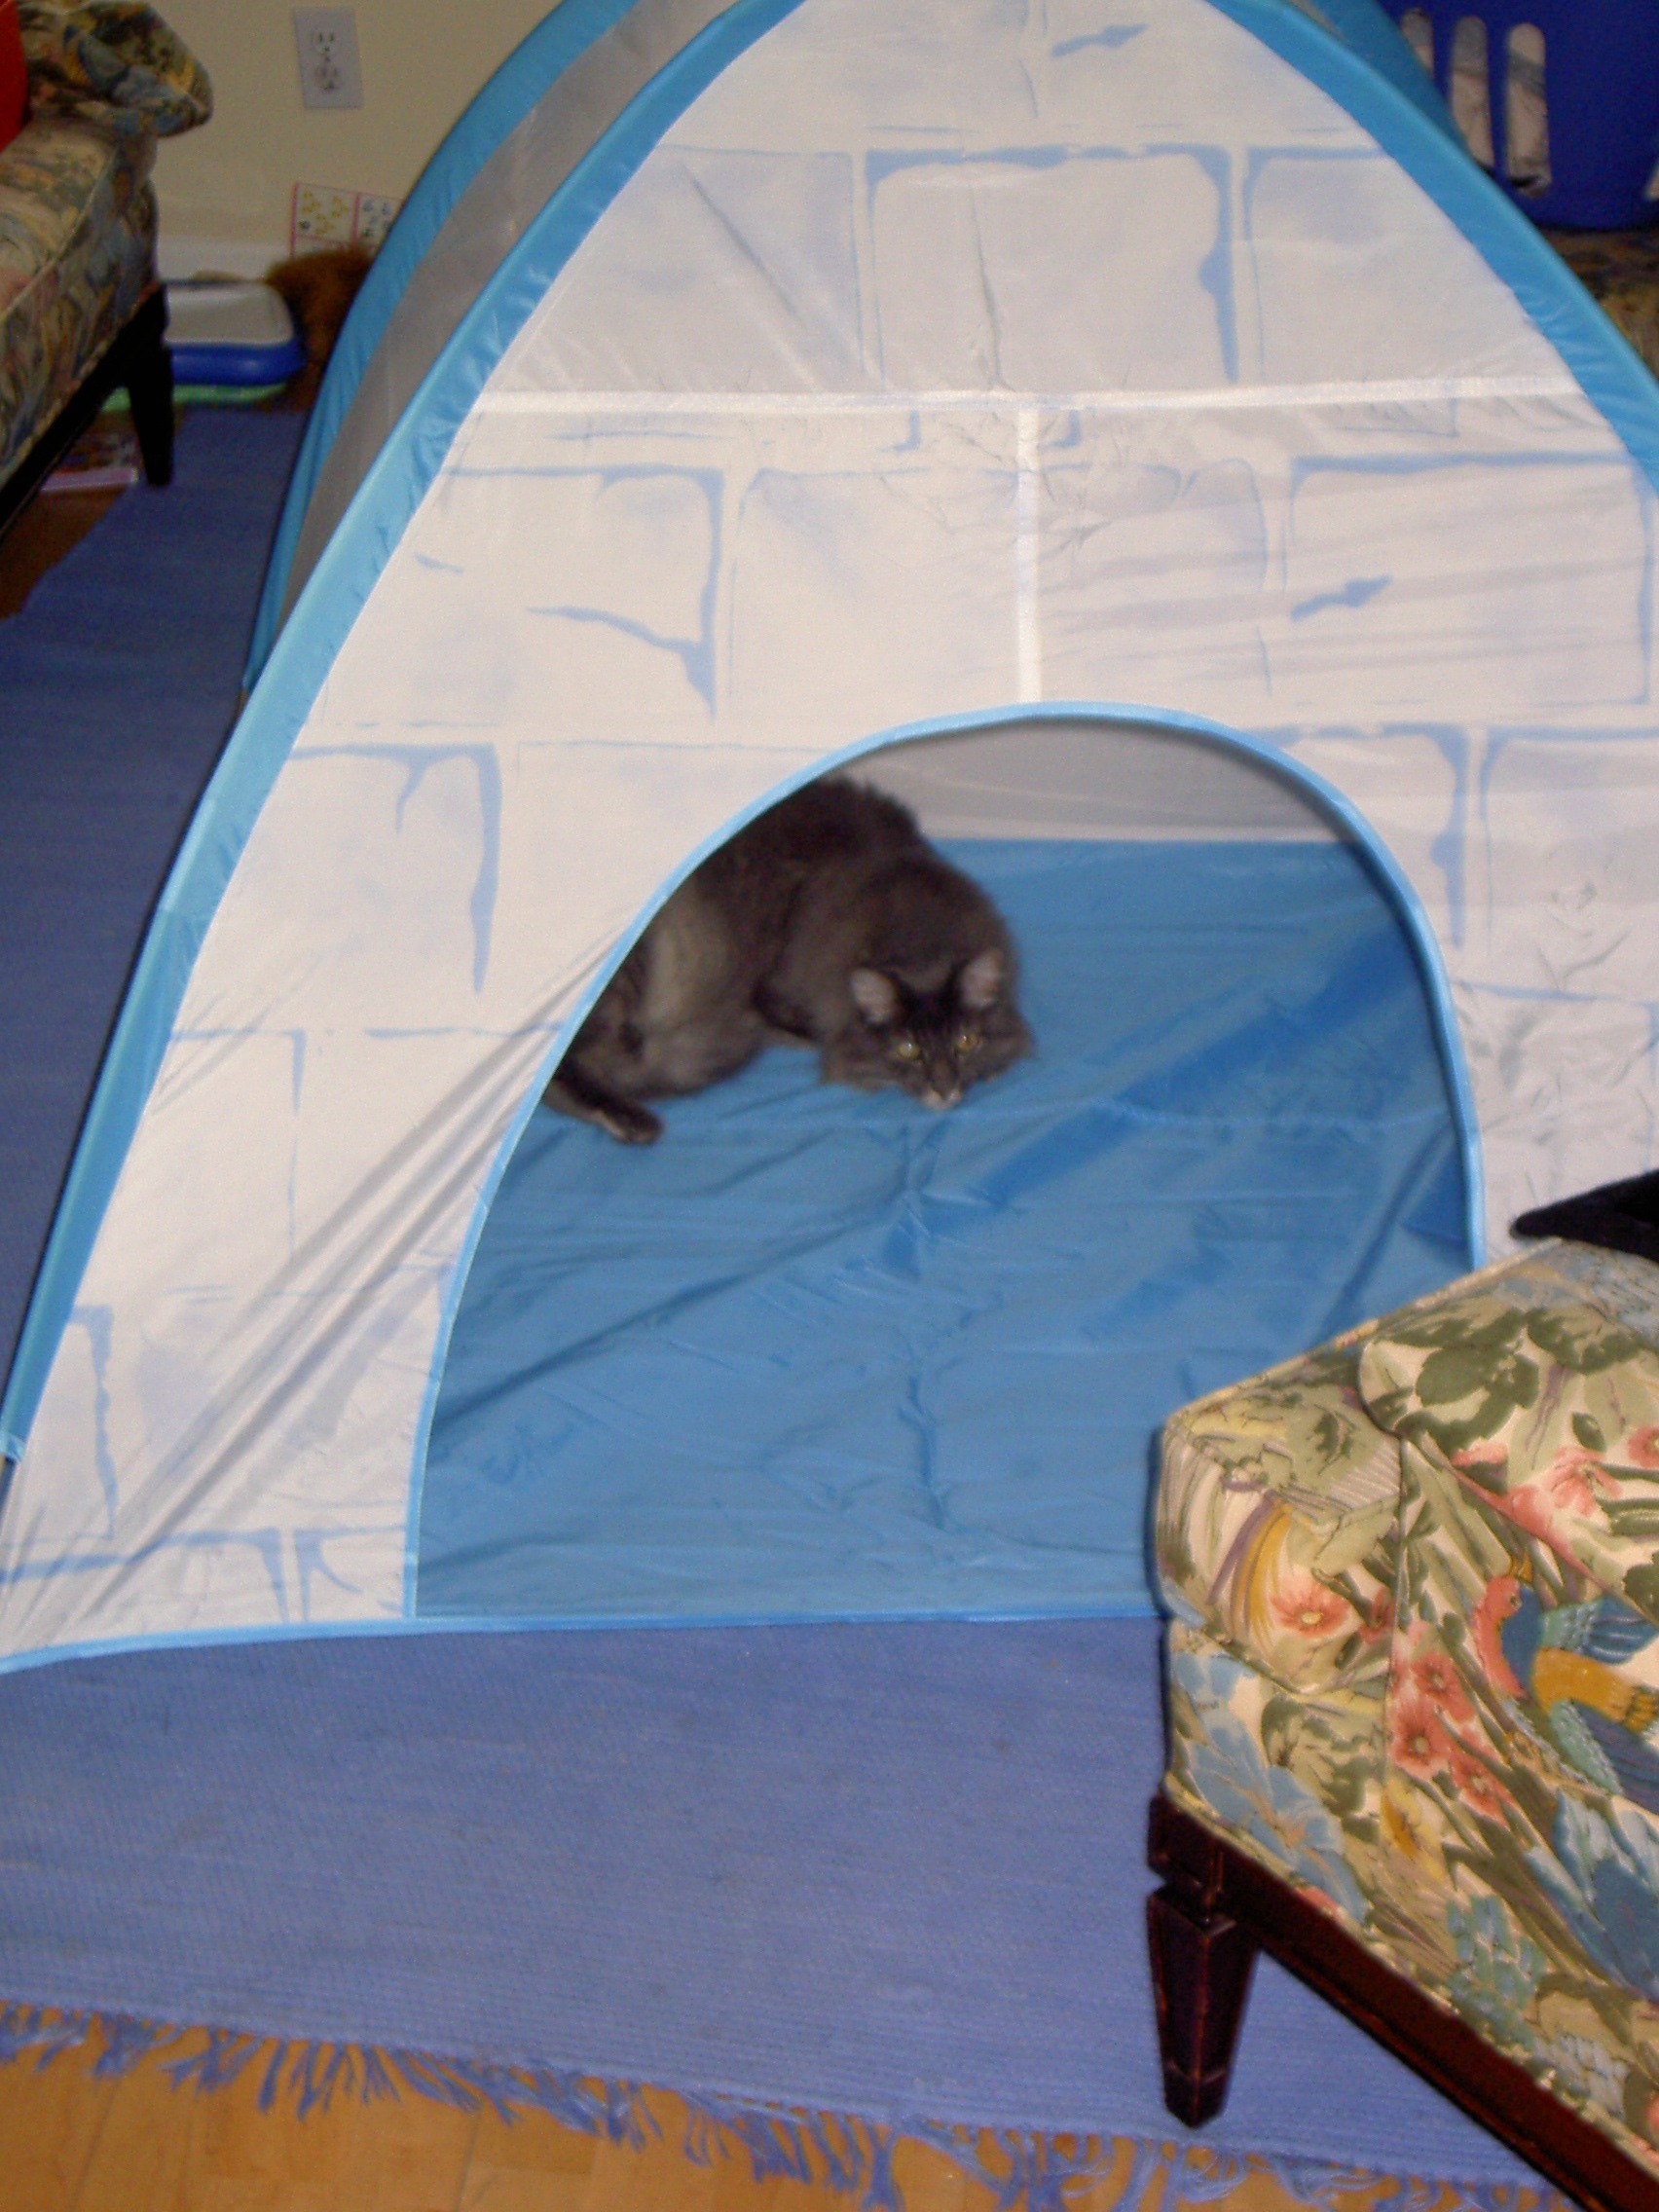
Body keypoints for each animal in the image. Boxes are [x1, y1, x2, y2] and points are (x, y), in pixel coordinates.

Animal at [543, 776, 1031, 1144]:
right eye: (909, 1048)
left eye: (965, 1042)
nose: (944, 1089)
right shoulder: (777, 978)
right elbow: (813, 1030)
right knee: (563, 1070)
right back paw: (632, 1121)